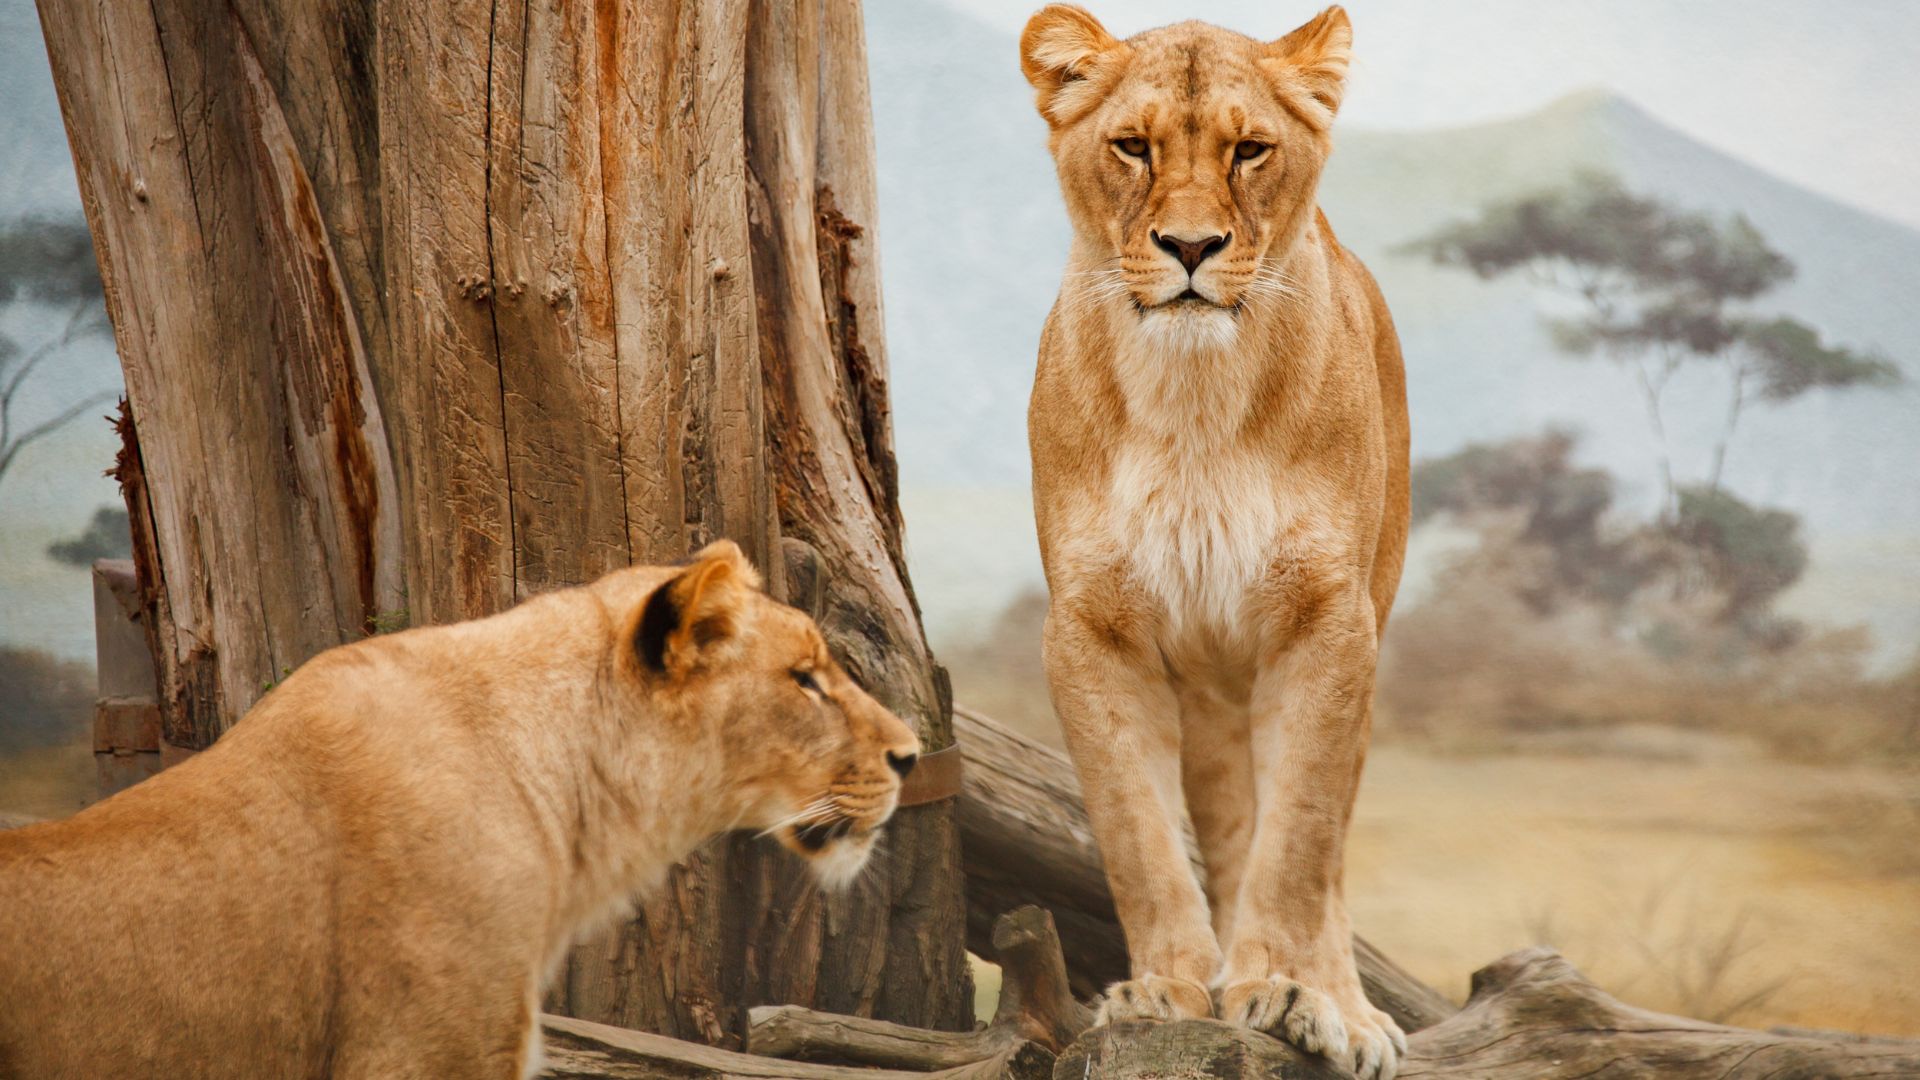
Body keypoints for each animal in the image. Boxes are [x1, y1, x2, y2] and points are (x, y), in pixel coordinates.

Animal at [1020, 6, 1411, 1078]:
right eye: (1132, 146)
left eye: (1249, 150)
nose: (1191, 246)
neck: (1193, 396)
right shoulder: (1091, 631)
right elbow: (1139, 835)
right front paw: (1165, 989)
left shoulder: (1328, 624)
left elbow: (1300, 844)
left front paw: (1282, 991)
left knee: (1327, 849)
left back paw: (1345, 1011)